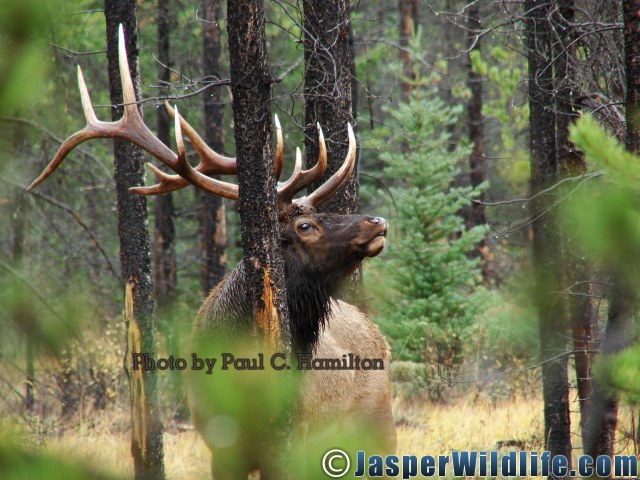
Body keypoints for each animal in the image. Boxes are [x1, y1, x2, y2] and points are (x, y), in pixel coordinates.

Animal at [30, 27, 396, 480]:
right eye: (305, 226)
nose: (377, 221)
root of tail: (379, 336)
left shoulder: (292, 441)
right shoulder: (220, 447)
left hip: (379, 423)